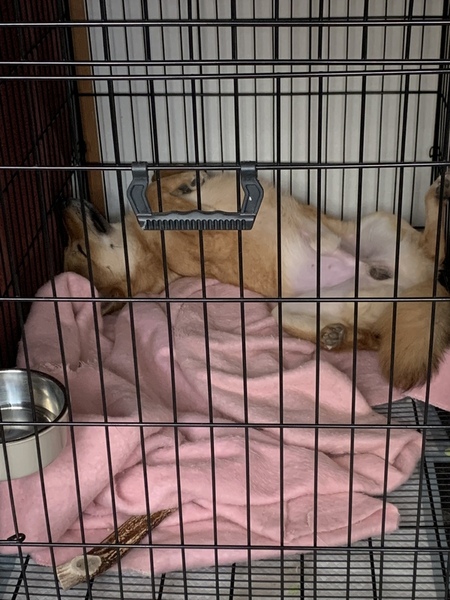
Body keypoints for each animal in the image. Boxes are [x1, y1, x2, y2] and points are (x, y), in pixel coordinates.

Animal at [62, 169, 450, 390]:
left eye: (76, 246)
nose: (64, 202)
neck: (150, 252)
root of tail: (417, 289)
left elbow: (159, 183)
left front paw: (183, 179)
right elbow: (156, 194)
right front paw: (181, 186)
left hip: (376, 223)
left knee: (431, 252)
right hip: (289, 310)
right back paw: (337, 336)